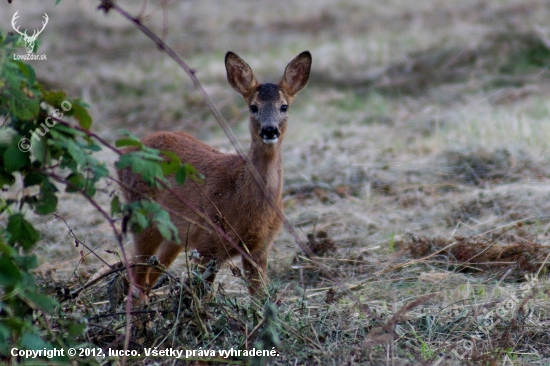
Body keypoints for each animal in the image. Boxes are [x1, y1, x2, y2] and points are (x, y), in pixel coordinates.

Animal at [118, 51, 312, 296]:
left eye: (284, 106)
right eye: (253, 107)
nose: (269, 130)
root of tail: (124, 153)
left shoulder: (259, 248)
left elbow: (261, 298)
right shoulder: (207, 242)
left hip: (173, 234)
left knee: (148, 277)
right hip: (143, 215)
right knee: (136, 278)